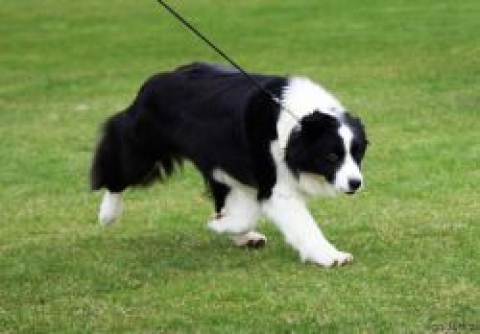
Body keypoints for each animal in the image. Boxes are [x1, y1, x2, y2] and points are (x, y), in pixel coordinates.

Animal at [91, 62, 368, 266]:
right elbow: (302, 223)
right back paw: (108, 214)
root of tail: (154, 80)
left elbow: (246, 212)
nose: (356, 183)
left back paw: (244, 236)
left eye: (357, 154)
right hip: (142, 146)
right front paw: (332, 256)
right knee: (118, 169)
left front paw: (224, 225)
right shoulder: (274, 182)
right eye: (332, 156)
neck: (298, 126)